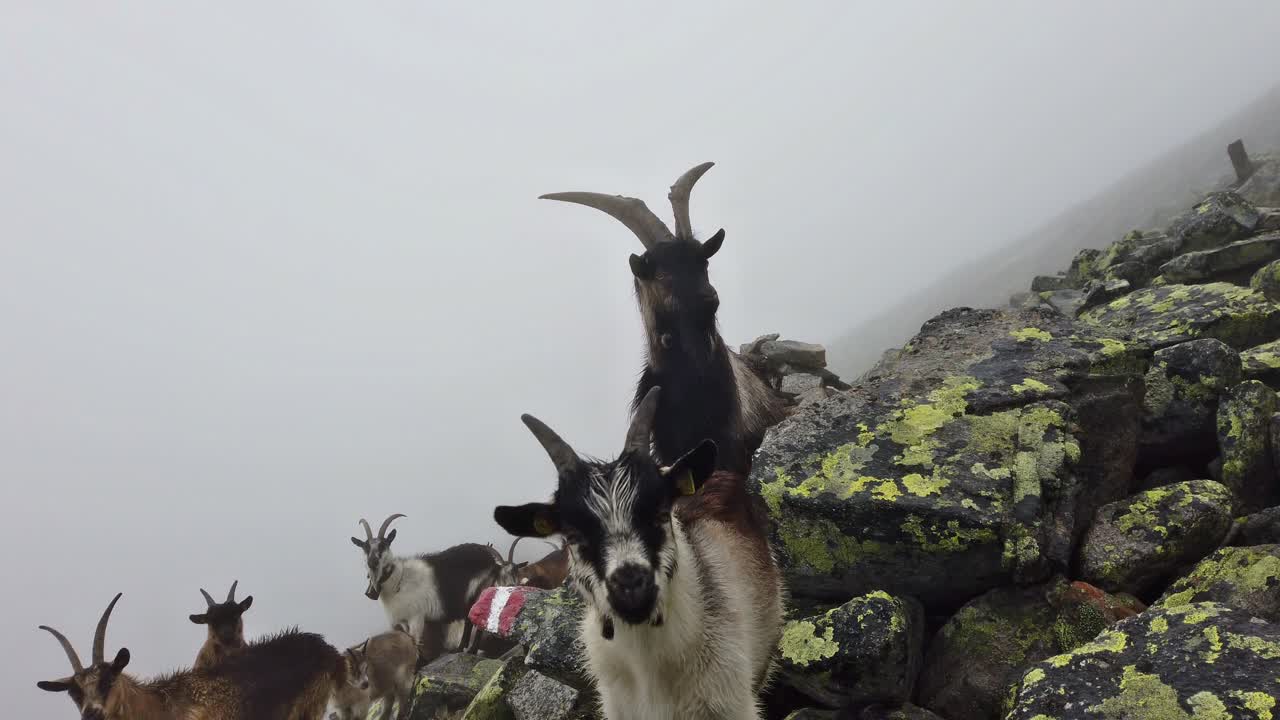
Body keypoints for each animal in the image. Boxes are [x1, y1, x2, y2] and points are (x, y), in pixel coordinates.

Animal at [350, 513, 508, 655]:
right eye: (365, 547)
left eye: (383, 545)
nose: (372, 562)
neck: (399, 580)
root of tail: (493, 563)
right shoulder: (404, 621)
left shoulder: (416, 617)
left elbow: (415, 643)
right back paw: (462, 649)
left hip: (478, 590)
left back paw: (469, 650)